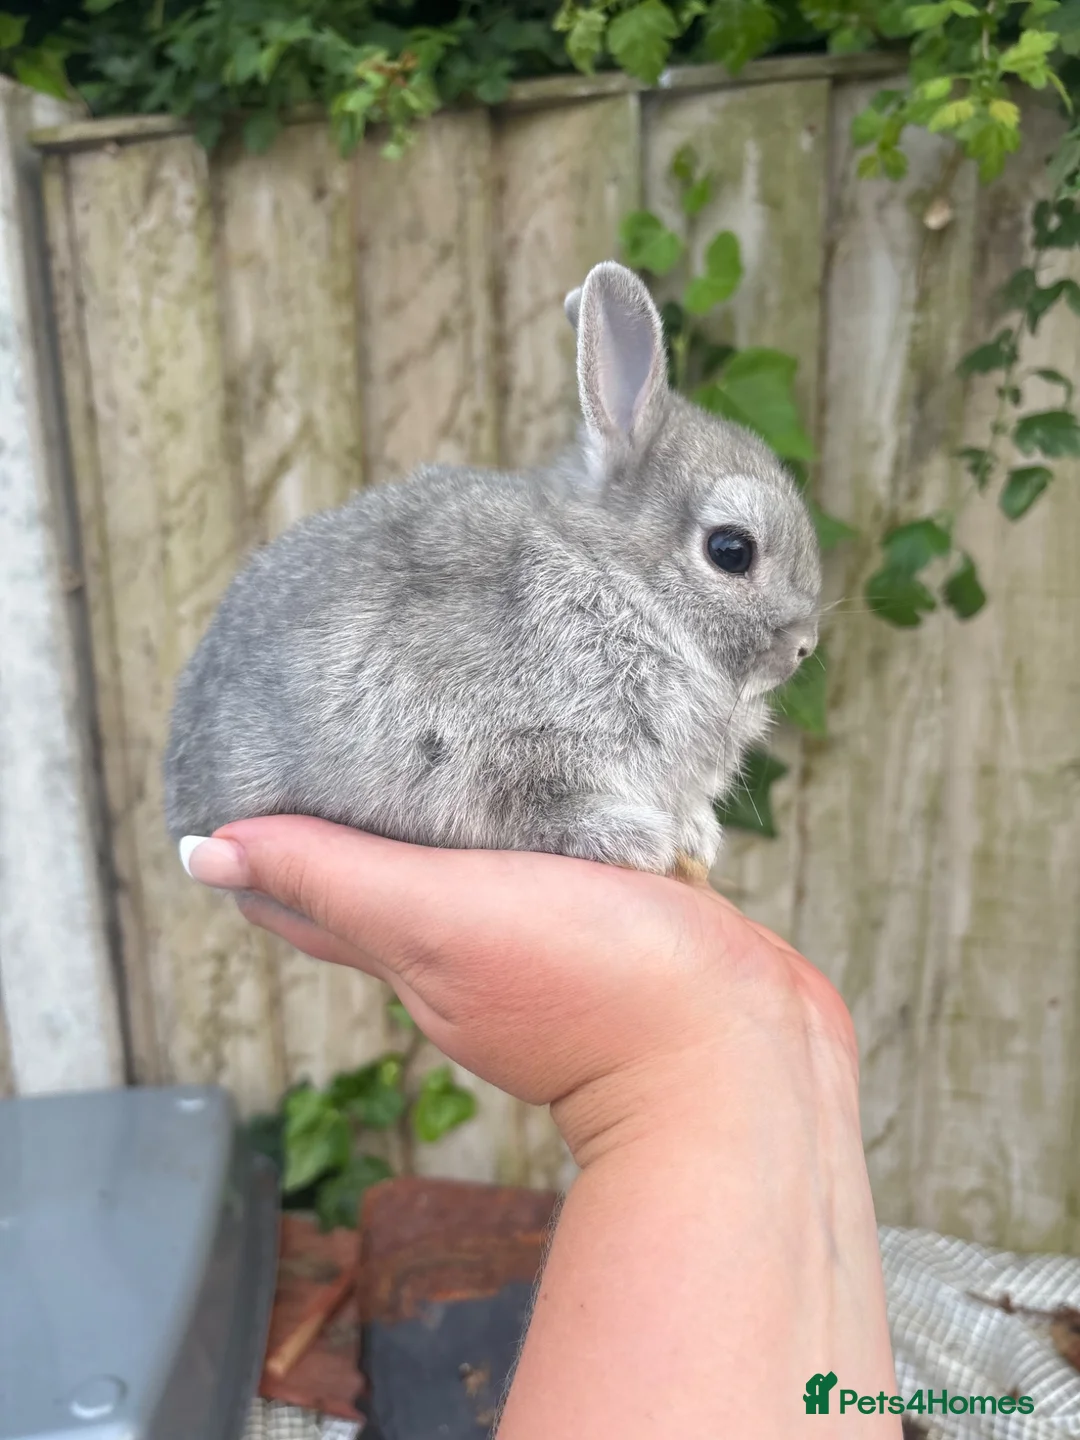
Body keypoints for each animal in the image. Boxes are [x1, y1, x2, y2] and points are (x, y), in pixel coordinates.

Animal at [164, 260, 821, 883]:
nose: (803, 647)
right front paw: (635, 839)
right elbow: (535, 805)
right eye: (731, 550)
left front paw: (696, 835)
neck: (619, 584)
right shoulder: (487, 746)